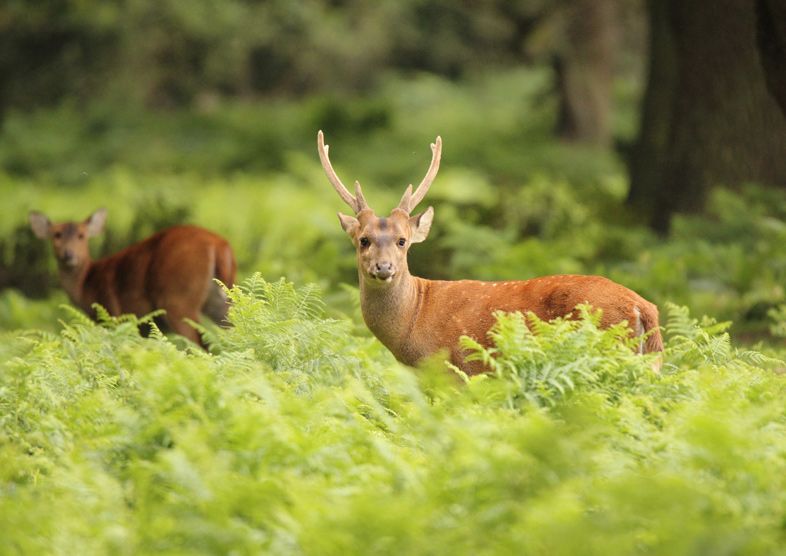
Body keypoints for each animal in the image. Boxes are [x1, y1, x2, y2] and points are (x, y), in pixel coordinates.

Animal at [28, 208, 236, 348]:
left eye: (81, 235)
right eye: (56, 235)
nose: (68, 255)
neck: (87, 283)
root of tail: (219, 244)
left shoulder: (112, 315)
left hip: (178, 299)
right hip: (220, 299)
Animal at [316, 130, 660, 374]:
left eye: (402, 241)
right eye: (364, 239)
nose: (384, 267)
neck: (414, 319)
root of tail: (644, 309)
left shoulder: (458, 371)